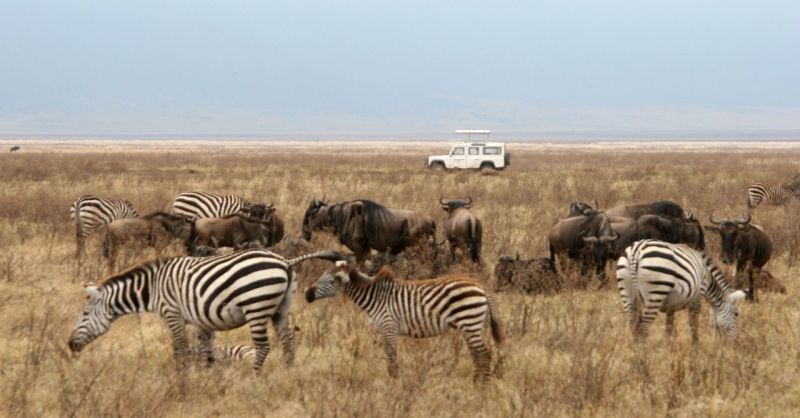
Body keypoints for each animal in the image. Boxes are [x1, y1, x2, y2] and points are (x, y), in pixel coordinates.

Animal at [68, 248, 340, 372]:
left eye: (84, 314)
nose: (70, 344)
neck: (153, 288)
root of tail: (285, 261)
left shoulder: (173, 314)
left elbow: (180, 350)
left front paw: (182, 382)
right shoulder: (201, 319)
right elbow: (204, 351)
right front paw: (208, 377)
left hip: (256, 307)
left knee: (263, 347)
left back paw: (254, 377)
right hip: (281, 309)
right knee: (288, 343)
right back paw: (287, 373)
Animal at [304, 260, 504, 384]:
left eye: (331, 281)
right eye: (322, 276)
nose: (307, 294)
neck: (375, 297)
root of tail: (481, 287)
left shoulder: (388, 326)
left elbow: (391, 357)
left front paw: (394, 383)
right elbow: (391, 356)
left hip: (469, 322)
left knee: (484, 354)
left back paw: (483, 389)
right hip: (469, 326)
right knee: (477, 354)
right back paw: (475, 383)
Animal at [616, 240, 748, 342]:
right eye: (736, 314)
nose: (734, 342)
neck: (708, 277)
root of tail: (636, 250)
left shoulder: (670, 306)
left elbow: (669, 327)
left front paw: (668, 347)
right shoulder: (698, 295)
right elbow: (693, 322)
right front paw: (695, 347)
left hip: (626, 289)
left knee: (633, 325)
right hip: (656, 292)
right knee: (644, 328)